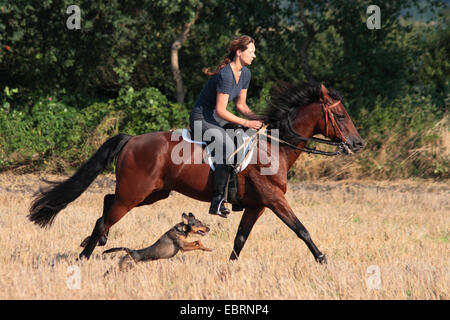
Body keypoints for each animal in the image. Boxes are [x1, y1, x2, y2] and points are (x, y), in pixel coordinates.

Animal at [28, 82, 364, 262]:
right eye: (339, 115)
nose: (358, 144)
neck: (275, 148)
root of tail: (131, 139)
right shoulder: (273, 200)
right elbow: (301, 228)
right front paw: (322, 259)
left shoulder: (256, 205)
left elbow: (240, 239)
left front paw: (229, 268)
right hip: (135, 193)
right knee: (106, 216)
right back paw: (85, 256)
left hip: (152, 193)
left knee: (108, 201)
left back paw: (95, 243)